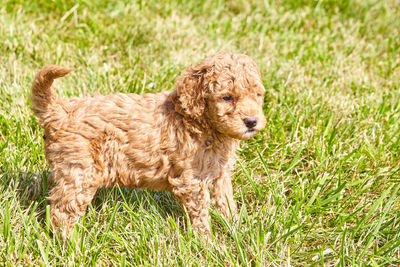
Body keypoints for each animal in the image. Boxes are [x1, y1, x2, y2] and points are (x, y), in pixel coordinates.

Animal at [31, 51, 268, 240]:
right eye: (227, 97)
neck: (198, 121)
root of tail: (60, 109)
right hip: (81, 170)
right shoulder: (192, 180)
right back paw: (73, 245)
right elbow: (200, 213)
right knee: (62, 211)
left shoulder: (220, 173)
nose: (251, 121)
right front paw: (209, 244)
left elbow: (227, 202)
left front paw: (238, 229)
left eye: (258, 95)